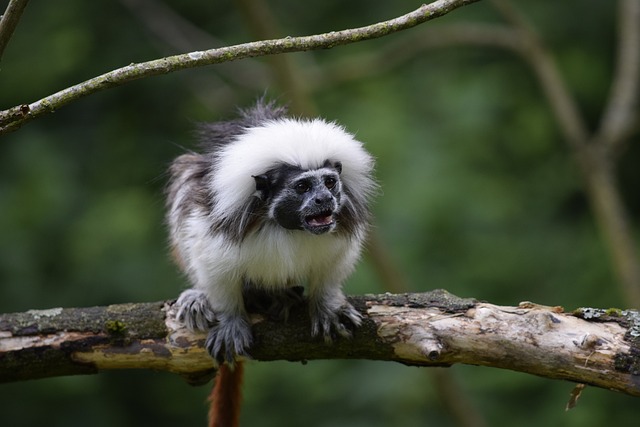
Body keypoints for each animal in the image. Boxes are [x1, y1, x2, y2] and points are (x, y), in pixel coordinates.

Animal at [166, 101, 376, 427]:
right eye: (303, 187)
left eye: (330, 182)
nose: (324, 199)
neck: (288, 227)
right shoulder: (221, 224)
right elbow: (212, 264)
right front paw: (230, 319)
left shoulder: (340, 225)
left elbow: (332, 267)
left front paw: (326, 305)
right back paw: (201, 297)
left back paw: (280, 296)